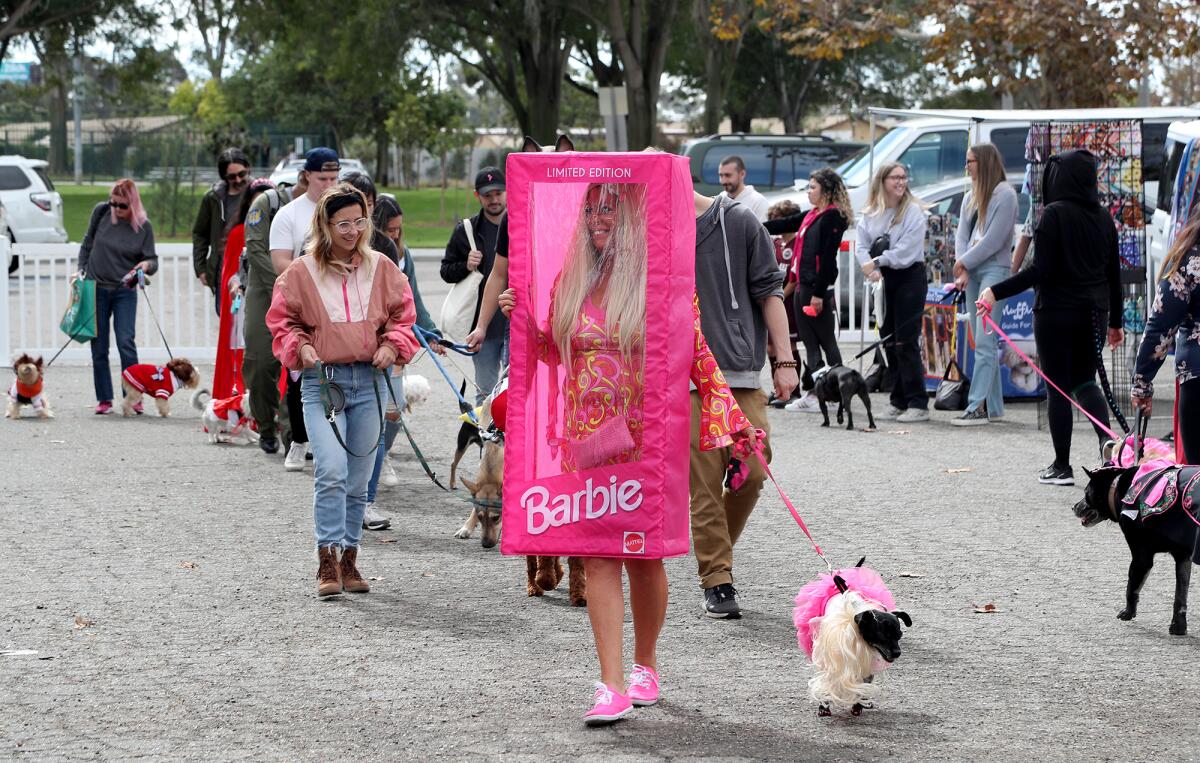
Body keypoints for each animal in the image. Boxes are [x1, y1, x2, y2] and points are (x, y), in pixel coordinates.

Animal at [792, 561, 912, 715]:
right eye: (881, 636)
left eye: (899, 636)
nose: (897, 653)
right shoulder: (828, 657)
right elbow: (827, 681)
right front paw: (824, 705)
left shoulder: (867, 661)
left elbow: (864, 682)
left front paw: (858, 704)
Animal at [1075, 465, 1195, 638]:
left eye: (1086, 492)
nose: (1073, 507)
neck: (1117, 487)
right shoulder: (1183, 556)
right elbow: (1180, 595)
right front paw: (1178, 626)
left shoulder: (1141, 558)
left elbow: (1131, 587)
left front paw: (1128, 613)